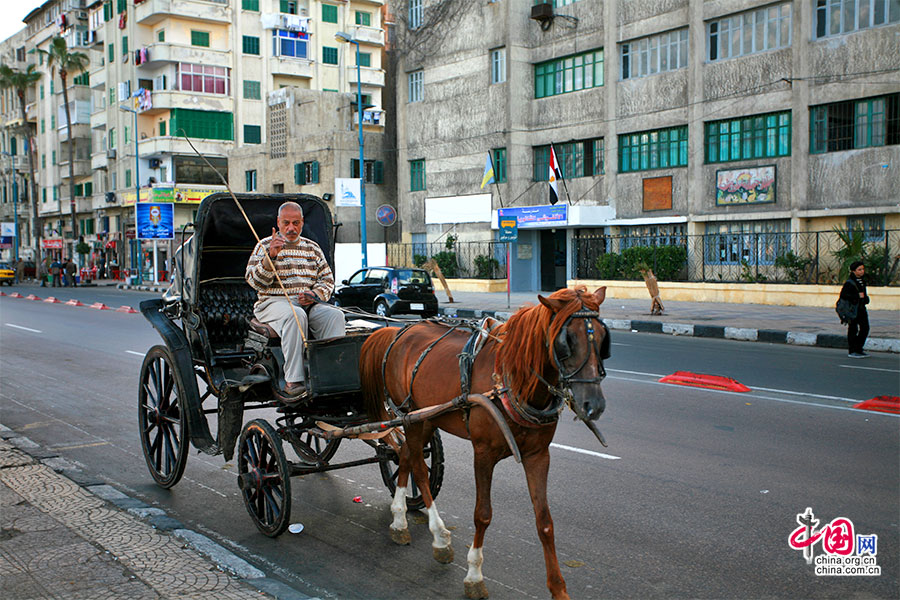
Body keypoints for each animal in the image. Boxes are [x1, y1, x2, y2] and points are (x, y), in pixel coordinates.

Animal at [362, 288, 608, 600]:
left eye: (602, 337)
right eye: (566, 341)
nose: (594, 405)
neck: (511, 381)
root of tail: (400, 330)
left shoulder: (538, 456)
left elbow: (545, 522)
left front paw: (558, 588)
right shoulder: (483, 453)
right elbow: (483, 514)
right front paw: (474, 575)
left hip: (423, 417)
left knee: (405, 455)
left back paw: (400, 521)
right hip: (411, 416)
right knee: (418, 466)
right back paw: (438, 536)